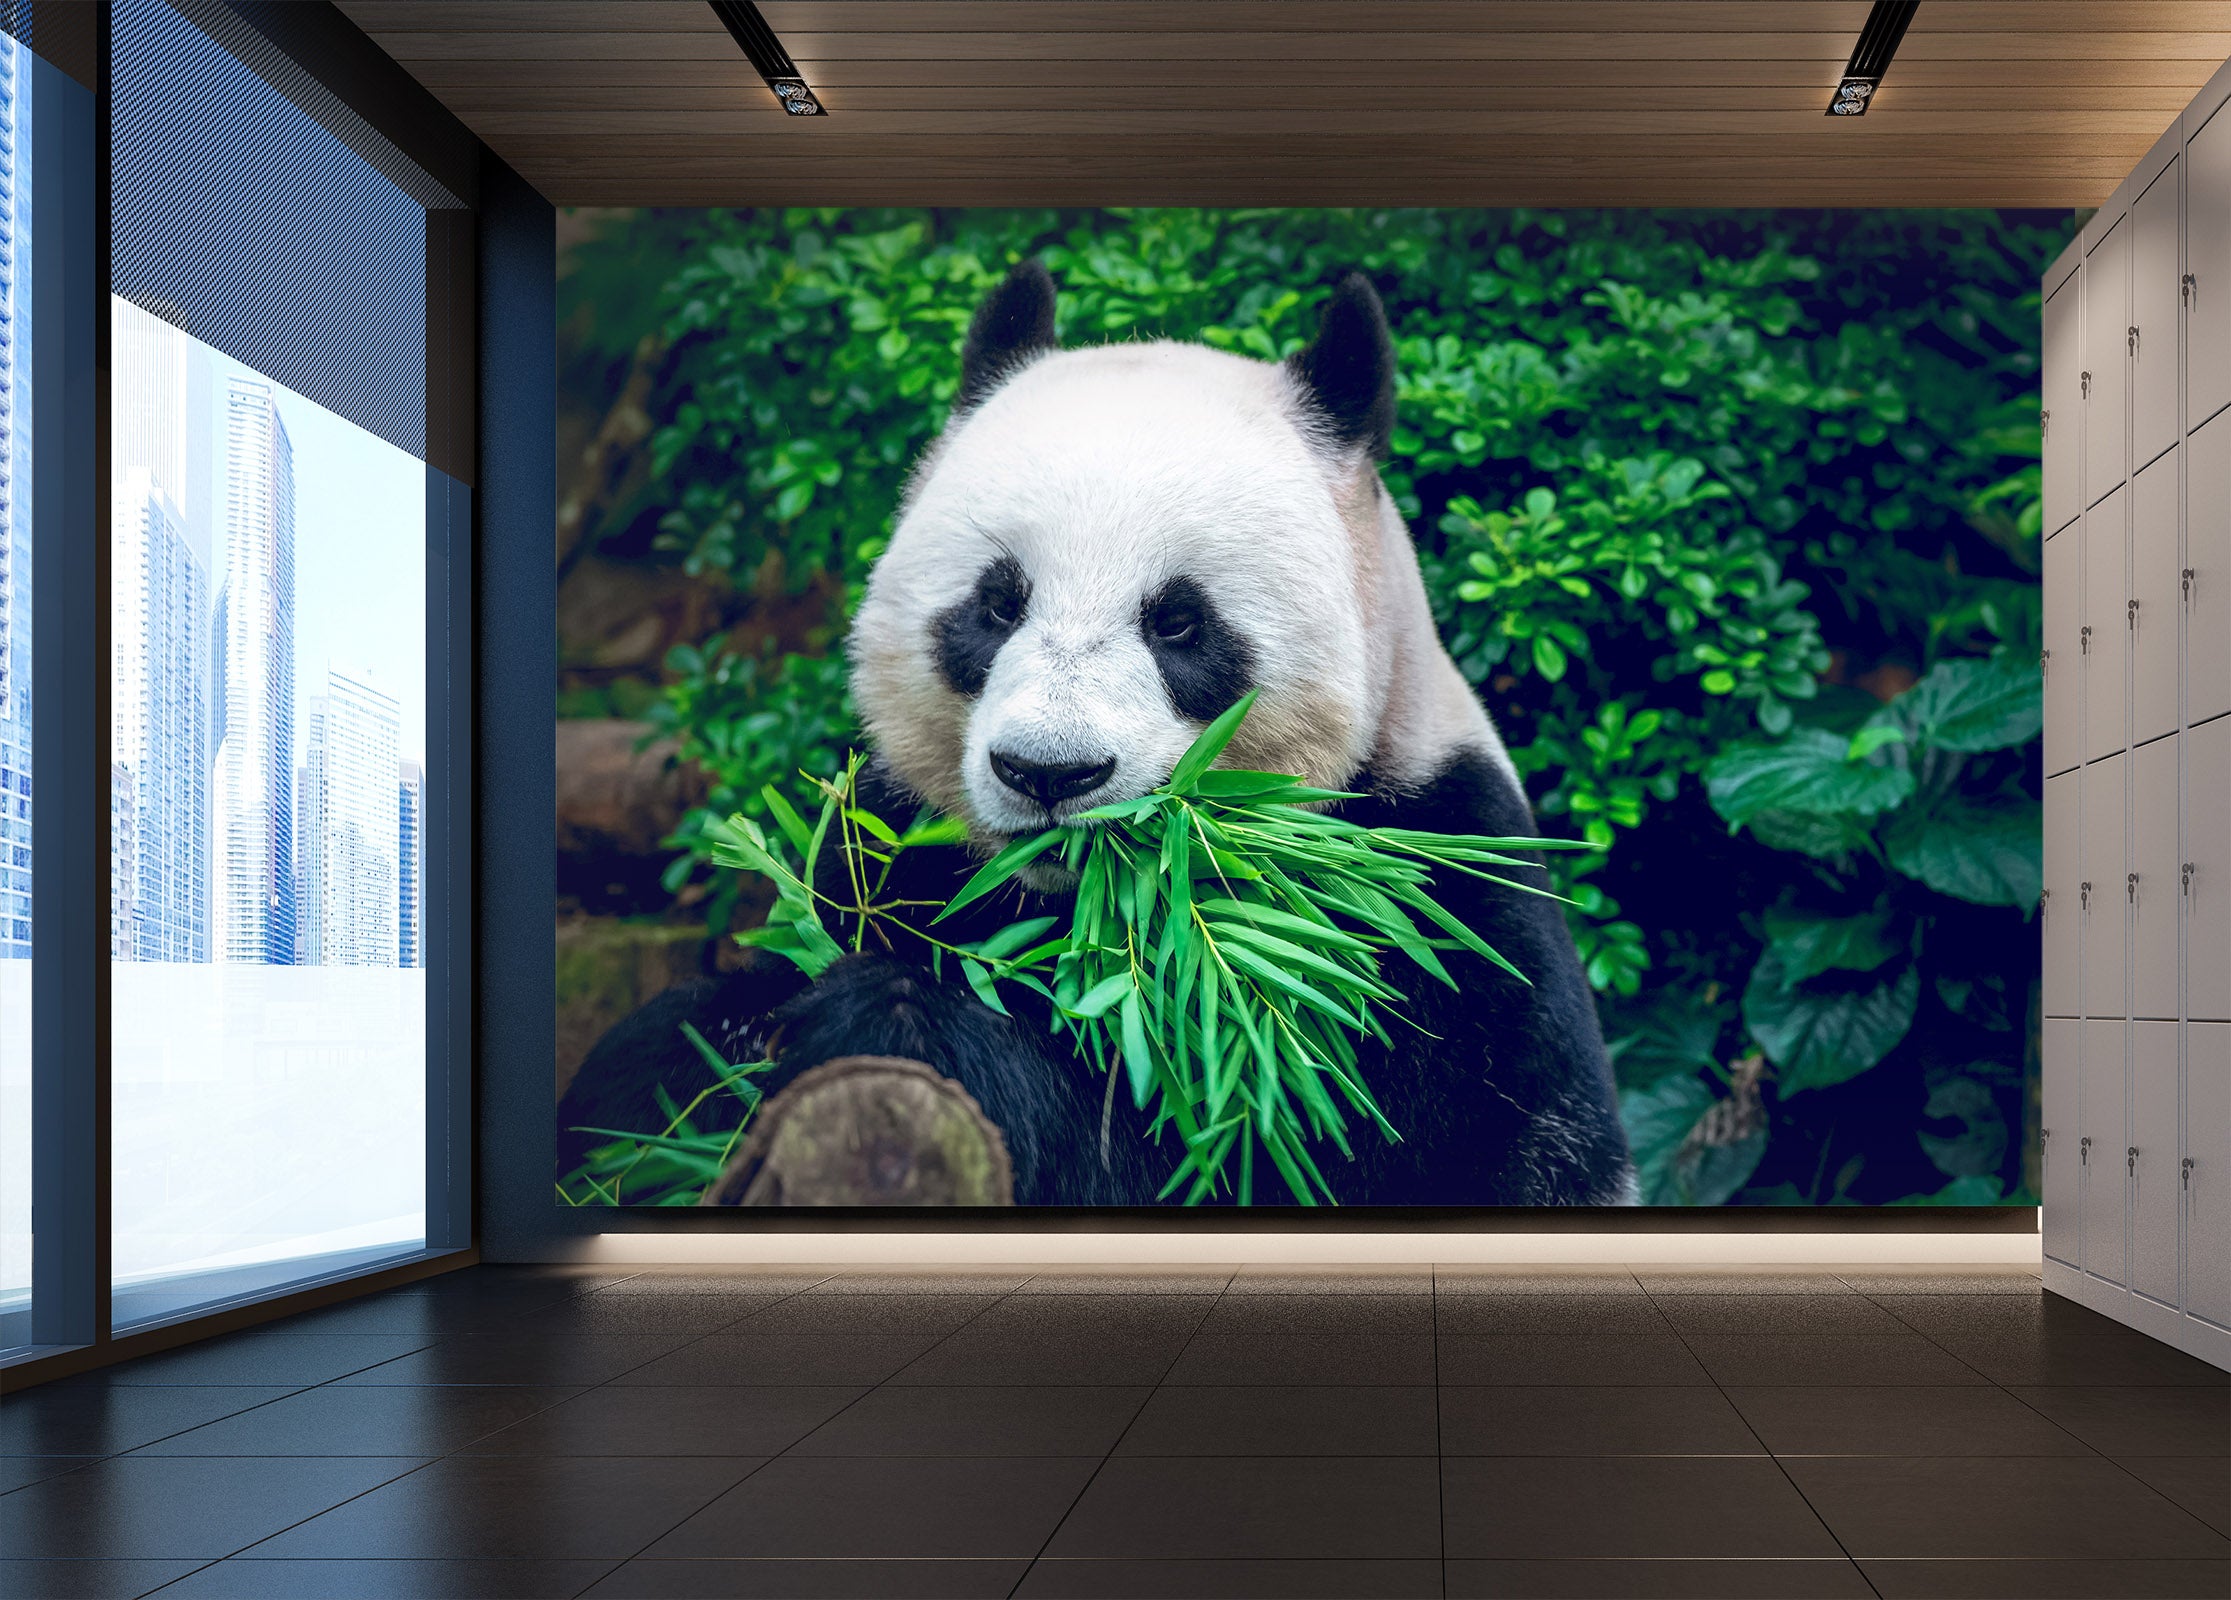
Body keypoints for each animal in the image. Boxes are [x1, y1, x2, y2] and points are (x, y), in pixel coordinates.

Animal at [558, 262, 1637, 1207]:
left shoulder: (1420, 915)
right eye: (997, 603)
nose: (1048, 773)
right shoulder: (888, 838)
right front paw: (701, 1067)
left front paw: (897, 1024)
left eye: (1179, 621)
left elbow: (1252, 1145)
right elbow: (671, 1049)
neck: (1083, 906)